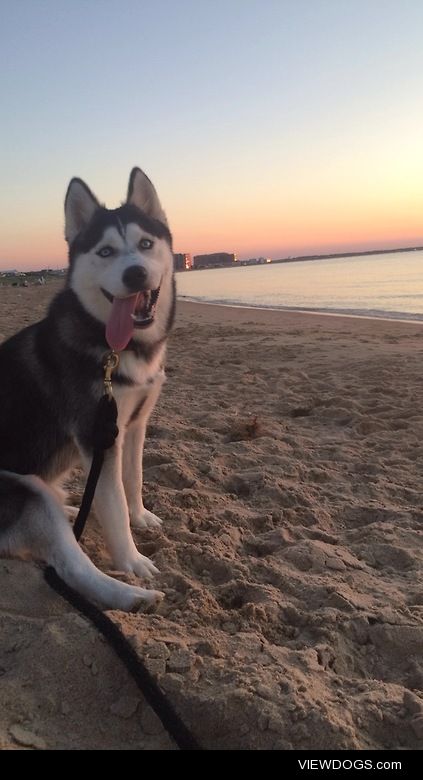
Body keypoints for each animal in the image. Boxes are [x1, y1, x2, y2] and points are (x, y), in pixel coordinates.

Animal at [0, 168, 176, 612]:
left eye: (145, 244)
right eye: (105, 252)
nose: (135, 273)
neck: (116, 349)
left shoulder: (133, 424)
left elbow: (133, 478)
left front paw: (140, 516)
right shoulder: (99, 435)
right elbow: (112, 506)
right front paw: (132, 559)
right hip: (24, 489)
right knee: (71, 566)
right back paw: (133, 597)